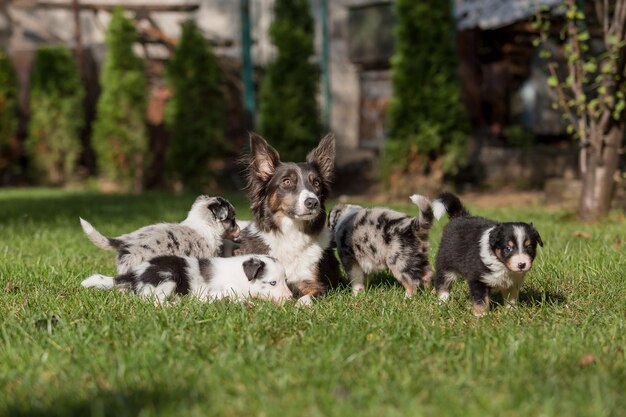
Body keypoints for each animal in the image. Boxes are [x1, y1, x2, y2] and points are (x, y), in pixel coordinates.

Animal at [235, 133, 342, 306]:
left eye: (317, 183)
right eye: (287, 181)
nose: (313, 202)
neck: (292, 232)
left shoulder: (314, 283)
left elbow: (307, 297)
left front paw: (299, 304)